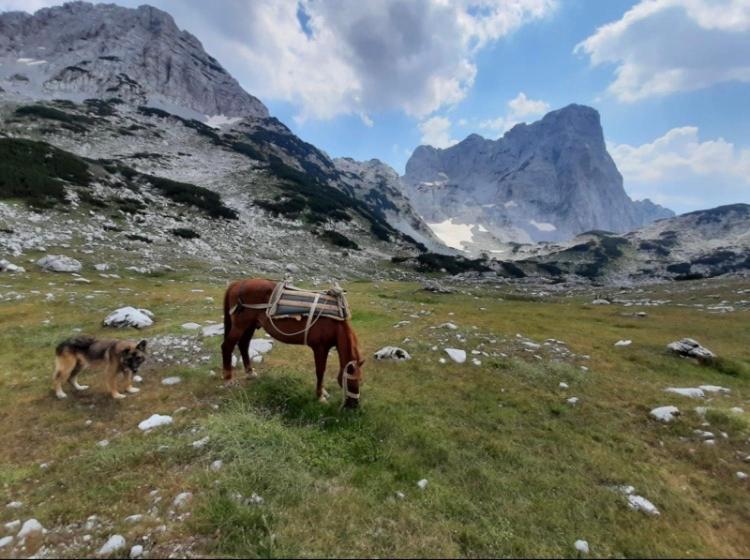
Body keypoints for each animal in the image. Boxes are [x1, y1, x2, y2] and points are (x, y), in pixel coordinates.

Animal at [222, 278, 366, 406]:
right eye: (353, 380)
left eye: (360, 380)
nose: (354, 405)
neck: (334, 324)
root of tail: (237, 284)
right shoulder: (320, 348)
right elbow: (320, 371)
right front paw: (320, 396)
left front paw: (323, 392)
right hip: (240, 326)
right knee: (227, 346)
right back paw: (228, 379)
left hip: (250, 326)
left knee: (243, 344)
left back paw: (250, 373)